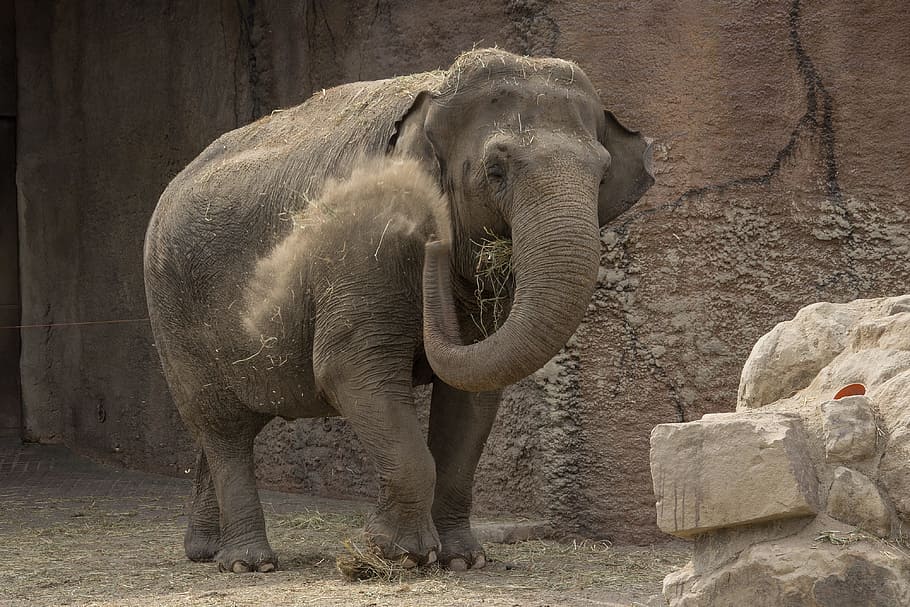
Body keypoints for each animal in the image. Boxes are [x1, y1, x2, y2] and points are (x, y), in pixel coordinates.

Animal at [143, 48, 653, 574]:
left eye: (601, 174)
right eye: (495, 170)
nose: (436, 243)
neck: (434, 99)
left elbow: (472, 396)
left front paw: (462, 561)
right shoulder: (362, 248)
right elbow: (353, 370)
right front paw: (397, 558)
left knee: (227, 426)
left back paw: (206, 552)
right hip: (173, 313)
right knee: (220, 425)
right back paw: (251, 564)